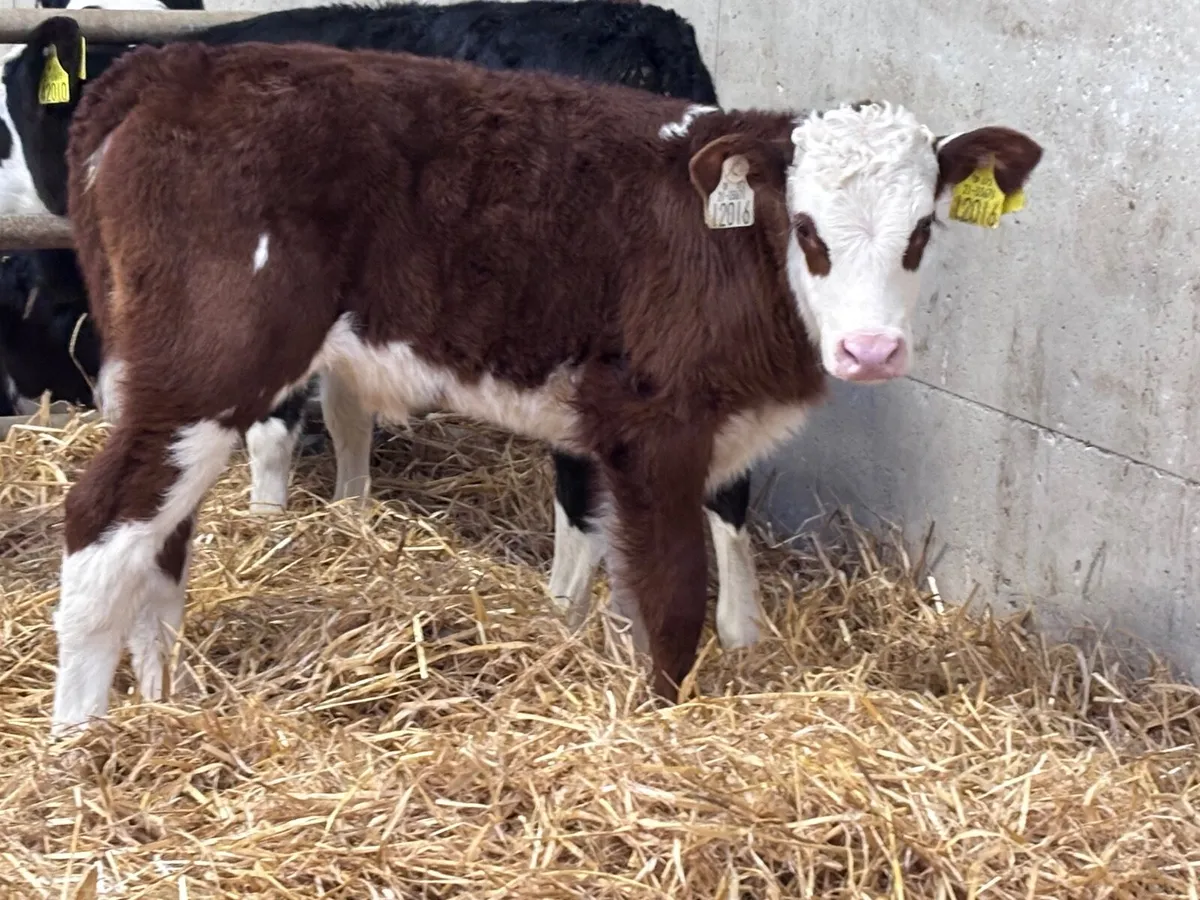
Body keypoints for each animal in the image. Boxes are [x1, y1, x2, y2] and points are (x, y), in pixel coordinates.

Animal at [0, 1, 768, 648]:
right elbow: (348, 414)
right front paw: (351, 512)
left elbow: (275, 433)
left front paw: (268, 524)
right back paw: (737, 633)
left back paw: (565, 610)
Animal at [47, 38, 1042, 734]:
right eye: (805, 229)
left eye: (922, 231)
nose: (871, 350)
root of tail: (171, 63)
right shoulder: (650, 423)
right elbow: (671, 595)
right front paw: (662, 725)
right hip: (214, 363)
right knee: (103, 518)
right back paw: (83, 747)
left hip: (170, 376)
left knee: (162, 533)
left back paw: (164, 702)